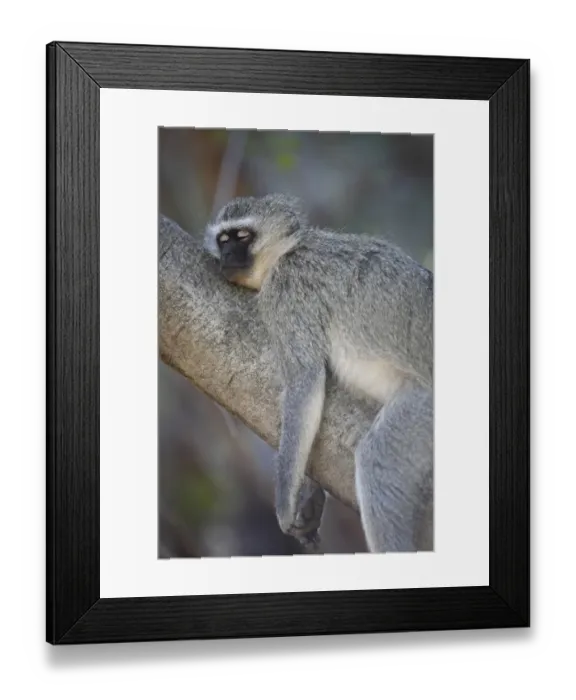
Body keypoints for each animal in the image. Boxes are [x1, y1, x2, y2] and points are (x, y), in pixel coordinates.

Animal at [203, 193, 433, 553]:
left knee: (379, 463)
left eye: (242, 237)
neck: (288, 250)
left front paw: (285, 504)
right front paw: (311, 495)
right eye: (223, 240)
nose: (226, 256)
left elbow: (306, 383)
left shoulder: (289, 292)